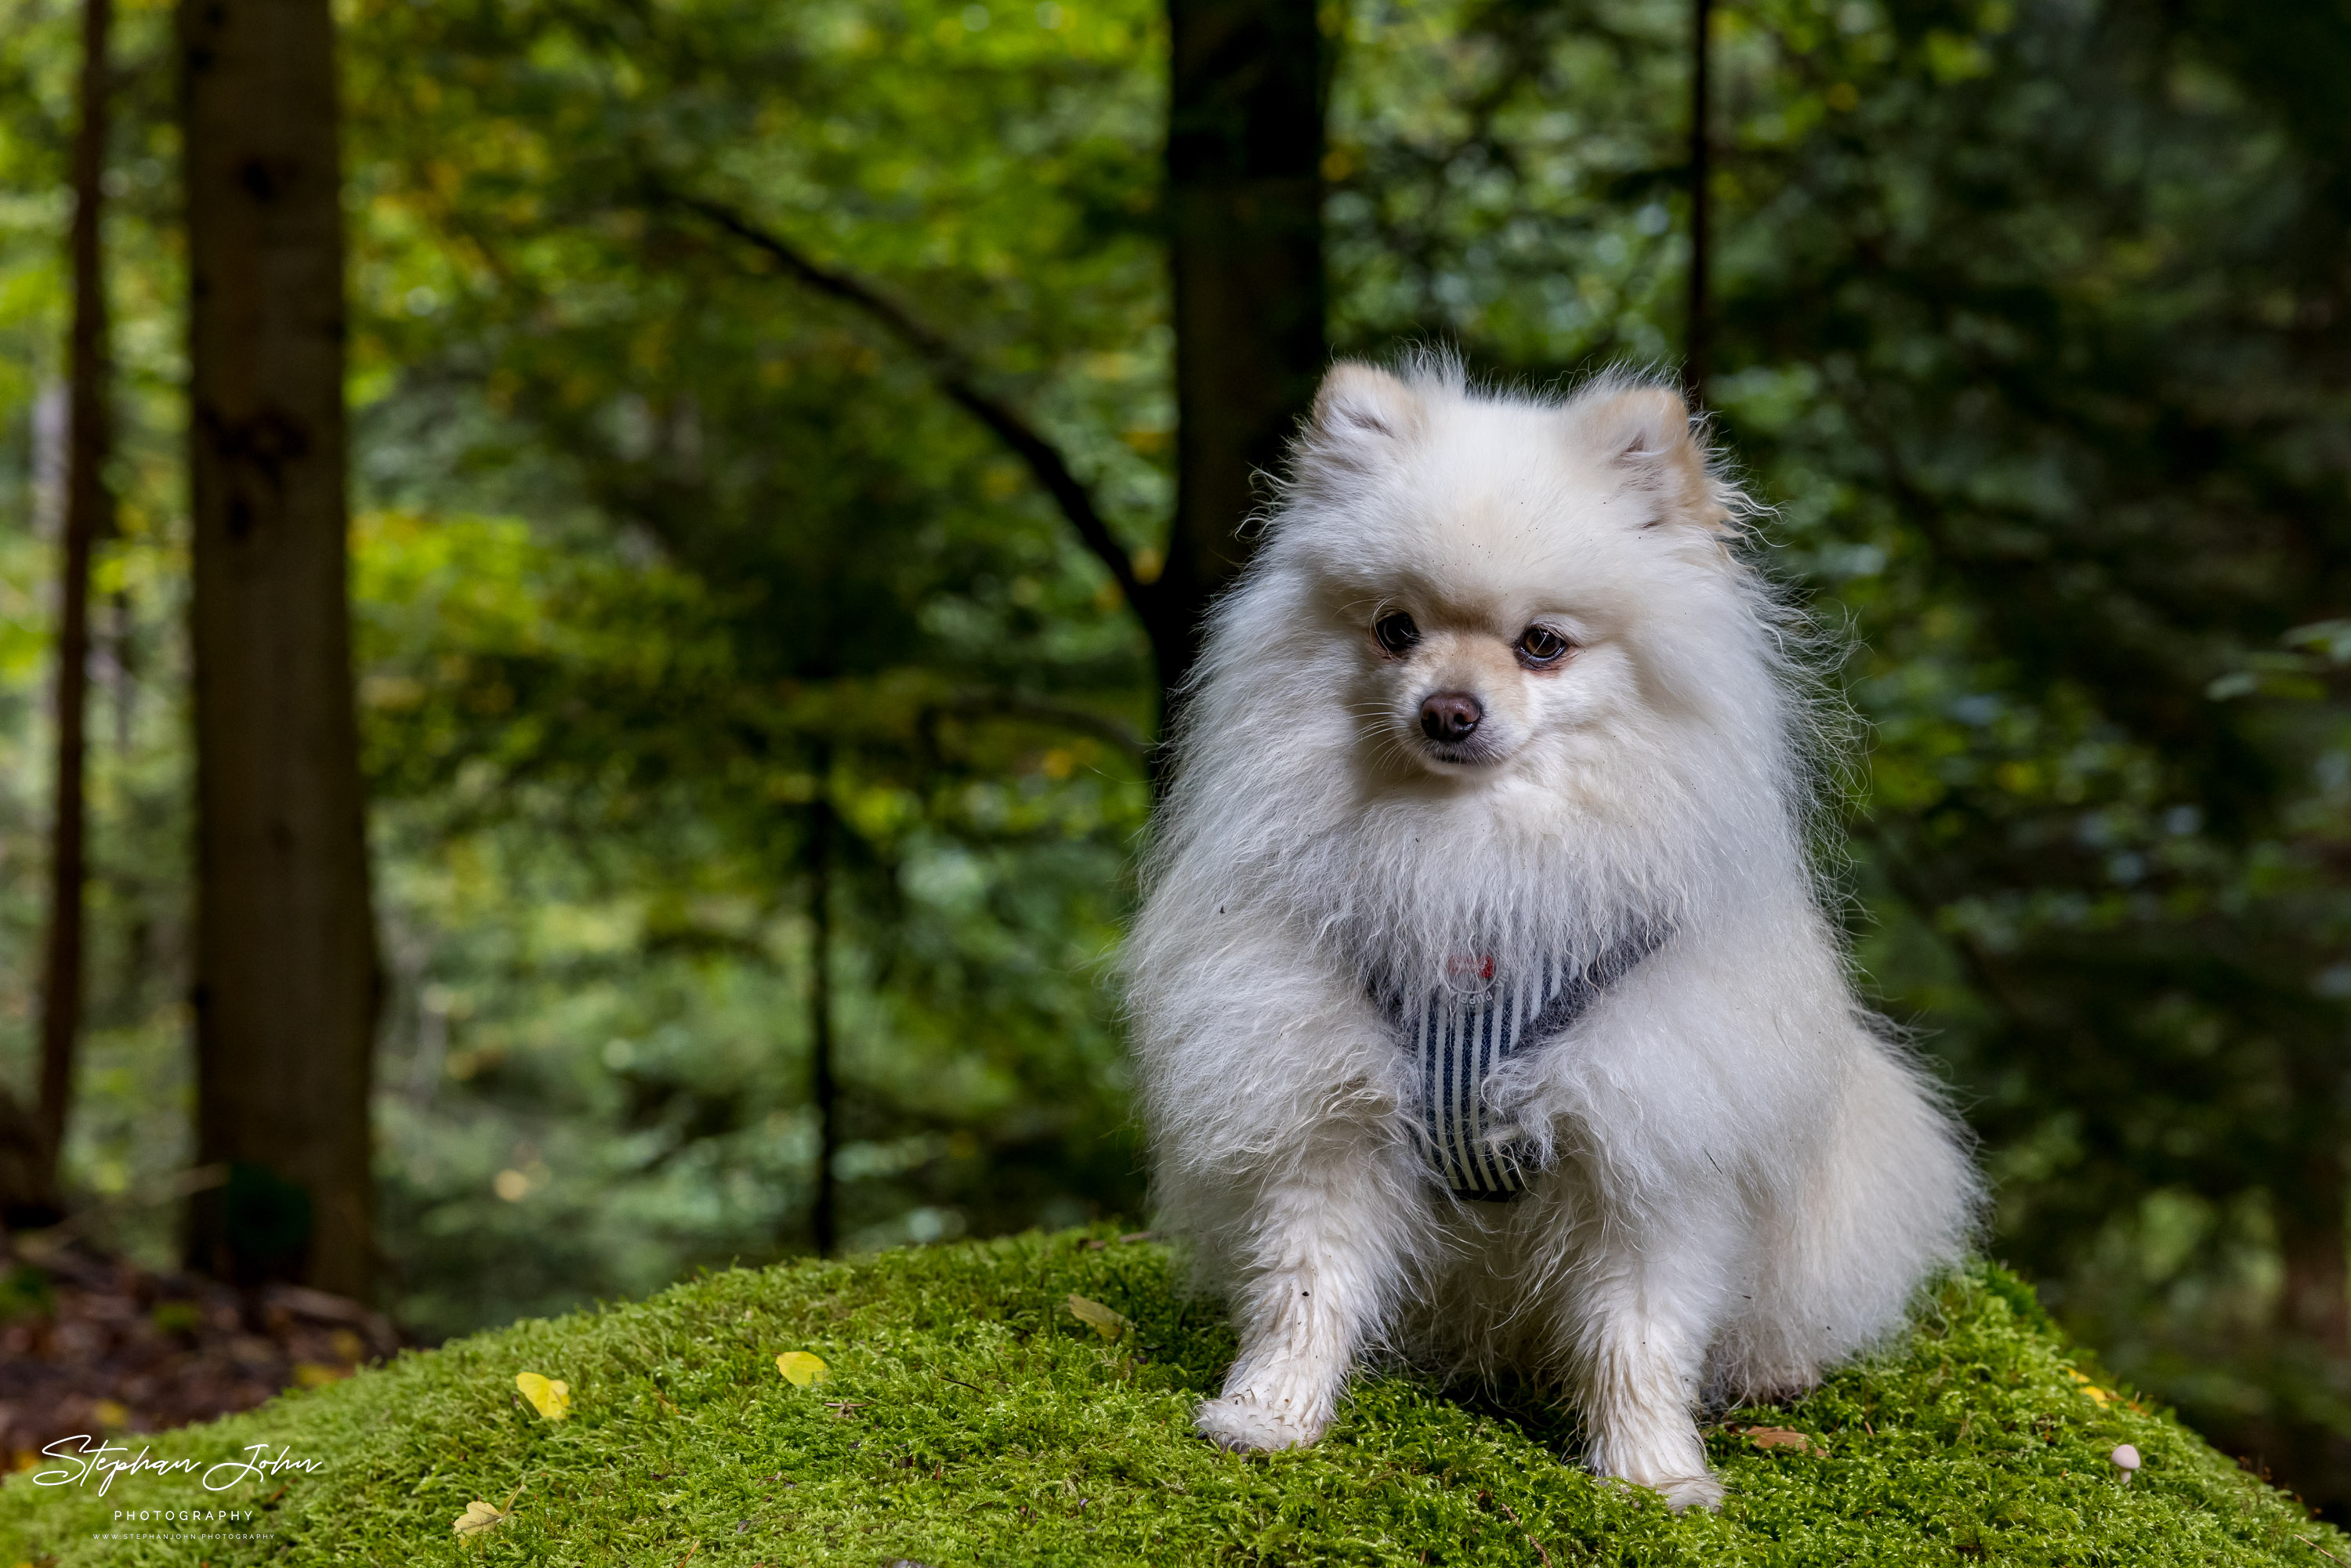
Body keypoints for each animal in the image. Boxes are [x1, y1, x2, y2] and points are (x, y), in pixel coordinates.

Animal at [1128, 353, 1975, 1505]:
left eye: (1542, 646)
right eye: (1396, 628)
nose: (1447, 710)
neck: (1471, 852)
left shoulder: (1650, 1142)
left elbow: (1640, 1333)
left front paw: (1654, 1475)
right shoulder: (1332, 1111)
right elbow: (1308, 1284)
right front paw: (1269, 1413)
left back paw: (1774, 1372)